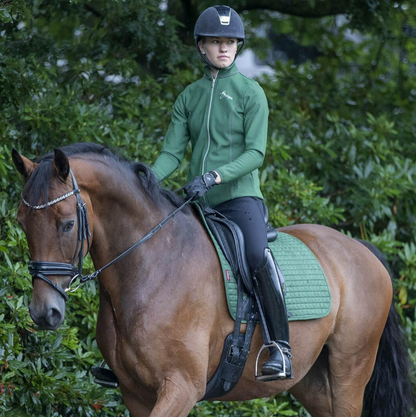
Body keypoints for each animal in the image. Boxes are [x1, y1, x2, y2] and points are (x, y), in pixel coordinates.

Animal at [11, 144, 414, 416]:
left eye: (67, 223)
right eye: (21, 222)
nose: (44, 312)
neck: (151, 265)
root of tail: (361, 249)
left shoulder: (180, 388)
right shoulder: (135, 392)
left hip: (350, 373)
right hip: (313, 382)